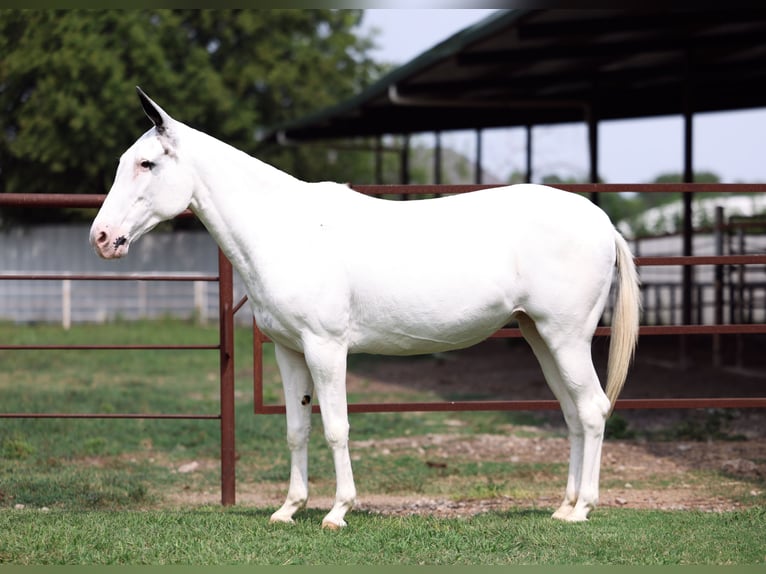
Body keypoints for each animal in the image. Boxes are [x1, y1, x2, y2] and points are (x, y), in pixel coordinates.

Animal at [90, 87, 640, 528]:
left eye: (147, 164)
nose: (101, 237)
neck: (284, 229)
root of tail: (600, 220)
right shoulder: (289, 351)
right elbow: (296, 430)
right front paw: (288, 510)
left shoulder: (326, 348)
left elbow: (336, 428)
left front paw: (337, 511)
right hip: (538, 335)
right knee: (572, 413)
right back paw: (564, 507)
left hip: (566, 337)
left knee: (592, 409)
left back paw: (583, 509)